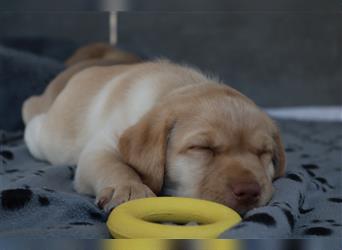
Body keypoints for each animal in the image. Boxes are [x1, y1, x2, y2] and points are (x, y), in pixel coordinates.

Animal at [22, 50, 286, 215]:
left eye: (263, 153)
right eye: (203, 148)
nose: (250, 191)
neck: (173, 89)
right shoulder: (101, 147)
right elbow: (114, 165)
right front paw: (130, 188)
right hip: (46, 138)